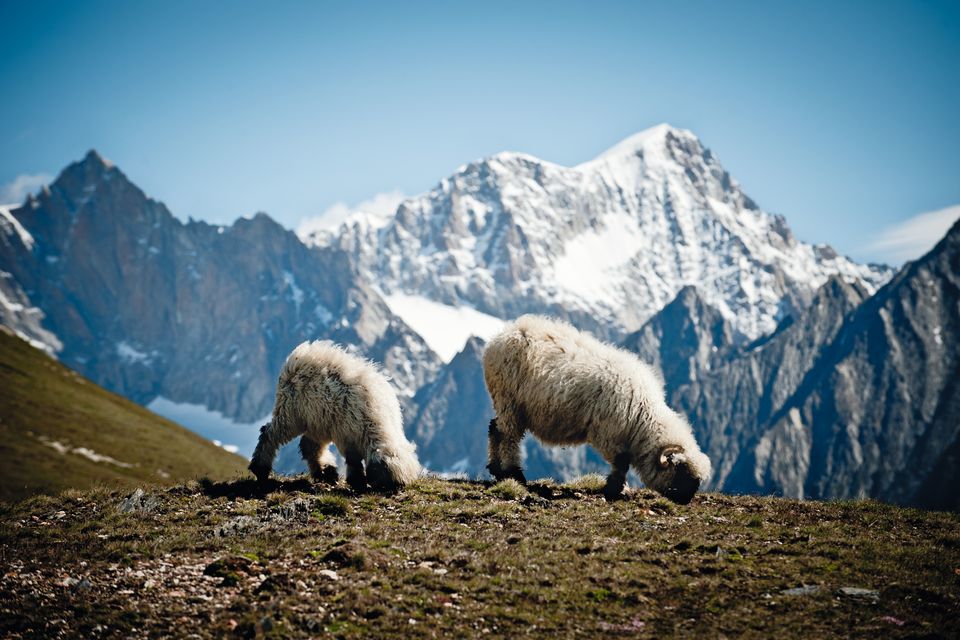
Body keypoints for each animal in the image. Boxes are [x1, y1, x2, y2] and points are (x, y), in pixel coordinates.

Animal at [249, 342, 422, 492]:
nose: (397, 488)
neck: (374, 422)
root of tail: (299, 355)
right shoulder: (347, 435)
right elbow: (353, 460)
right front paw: (357, 481)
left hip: (318, 421)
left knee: (309, 446)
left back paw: (325, 472)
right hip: (291, 414)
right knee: (269, 433)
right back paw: (260, 469)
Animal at [480, 316, 712, 504]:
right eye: (681, 472)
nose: (687, 500)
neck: (642, 416)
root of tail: (503, 335)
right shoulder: (610, 435)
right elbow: (621, 463)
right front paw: (617, 489)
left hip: (505, 403)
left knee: (495, 428)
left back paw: (496, 469)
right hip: (509, 400)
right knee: (508, 436)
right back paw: (513, 473)